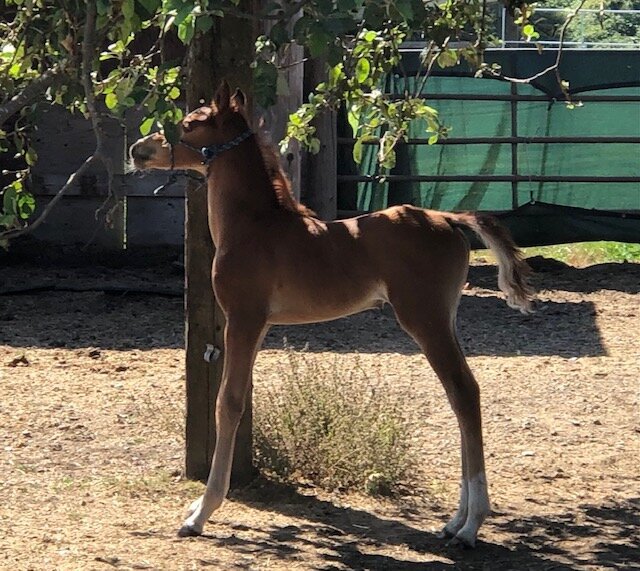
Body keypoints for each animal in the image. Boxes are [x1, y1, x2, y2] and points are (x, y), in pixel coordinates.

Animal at [130, 81, 536, 548]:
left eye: (189, 124)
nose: (138, 150)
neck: (253, 227)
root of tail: (448, 219)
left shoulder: (243, 318)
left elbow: (228, 403)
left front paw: (201, 512)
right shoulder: (260, 325)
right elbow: (241, 397)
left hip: (424, 318)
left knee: (465, 392)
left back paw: (470, 525)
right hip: (444, 318)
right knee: (459, 395)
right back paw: (455, 520)